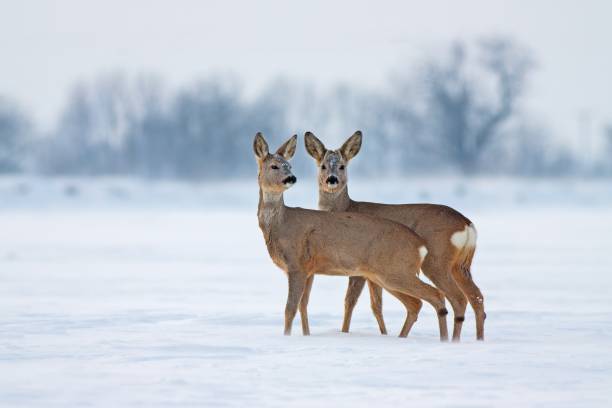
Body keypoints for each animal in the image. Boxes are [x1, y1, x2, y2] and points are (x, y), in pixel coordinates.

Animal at [253, 133, 450, 342]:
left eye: (288, 166)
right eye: (274, 166)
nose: (291, 177)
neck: (281, 225)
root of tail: (420, 244)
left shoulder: (296, 265)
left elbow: (289, 309)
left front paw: (287, 337)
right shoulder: (308, 269)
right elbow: (303, 306)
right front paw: (306, 335)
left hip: (396, 270)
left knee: (435, 295)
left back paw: (445, 340)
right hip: (385, 274)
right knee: (415, 304)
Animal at [304, 131, 486, 342]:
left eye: (342, 166)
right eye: (323, 166)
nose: (332, 180)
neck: (346, 208)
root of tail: (467, 224)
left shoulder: (359, 268)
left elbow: (351, 301)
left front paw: (345, 332)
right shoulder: (371, 273)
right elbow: (376, 305)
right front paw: (383, 334)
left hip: (436, 260)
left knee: (457, 298)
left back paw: (451, 340)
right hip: (461, 265)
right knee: (477, 297)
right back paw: (478, 339)